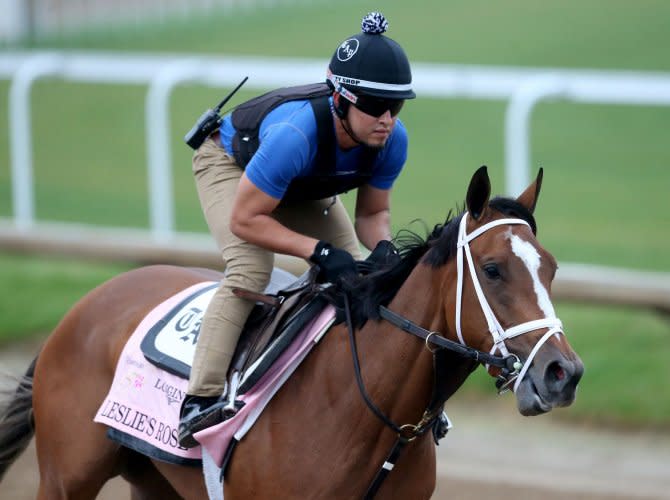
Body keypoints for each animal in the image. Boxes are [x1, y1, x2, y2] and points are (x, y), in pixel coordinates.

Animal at [0, 166, 584, 498]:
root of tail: (82, 306)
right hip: (65, 478)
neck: (367, 415)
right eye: (493, 269)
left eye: (552, 268)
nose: (564, 372)